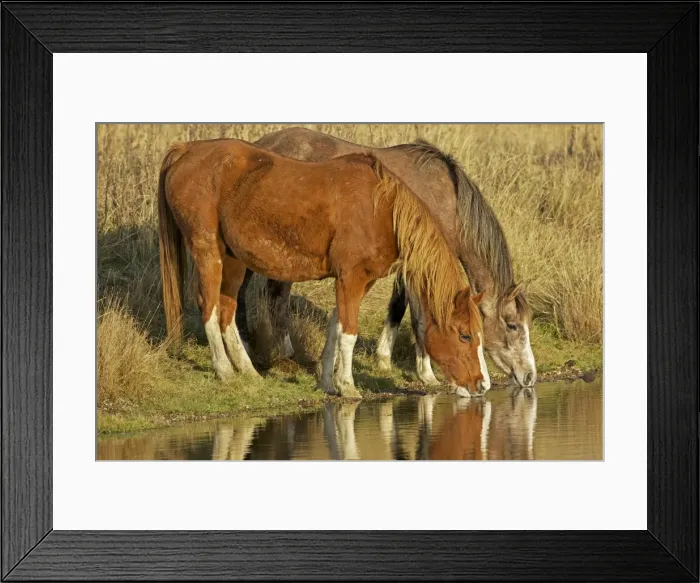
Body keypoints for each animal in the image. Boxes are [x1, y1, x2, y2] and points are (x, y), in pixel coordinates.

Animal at [157, 138, 490, 399]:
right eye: (464, 335)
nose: (482, 385)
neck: (381, 210)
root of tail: (185, 150)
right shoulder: (351, 278)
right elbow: (349, 332)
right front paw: (348, 385)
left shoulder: (358, 281)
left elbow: (336, 326)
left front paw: (328, 382)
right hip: (207, 251)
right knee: (209, 307)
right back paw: (224, 371)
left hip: (234, 259)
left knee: (227, 310)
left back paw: (248, 371)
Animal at [235, 127, 537, 388]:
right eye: (512, 325)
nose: (530, 376)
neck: (447, 201)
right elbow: (419, 316)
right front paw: (426, 373)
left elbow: (397, 306)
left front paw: (382, 359)